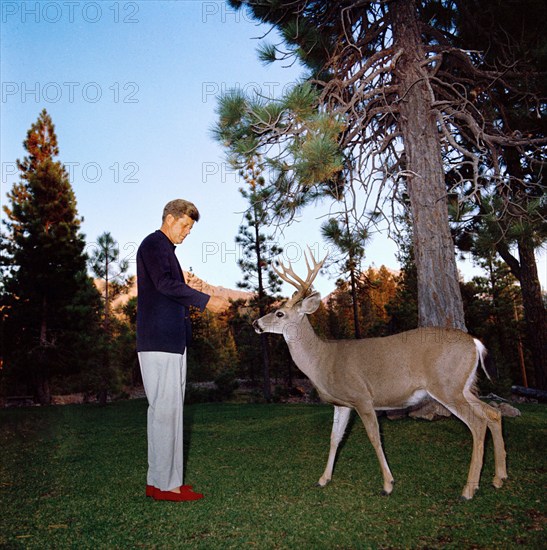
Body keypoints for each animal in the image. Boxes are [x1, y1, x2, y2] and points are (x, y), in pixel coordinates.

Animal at [254, 249, 510, 500]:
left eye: (279, 314)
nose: (256, 323)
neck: (322, 360)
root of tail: (475, 342)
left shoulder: (362, 397)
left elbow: (375, 438)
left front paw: (388, 484)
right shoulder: (342, 403)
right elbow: (335, 438)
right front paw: (323, 479)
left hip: (447, 385)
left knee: (478, 424)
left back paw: (469, 489)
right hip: (463, 387)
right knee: (493, 413)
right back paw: (499, 478)